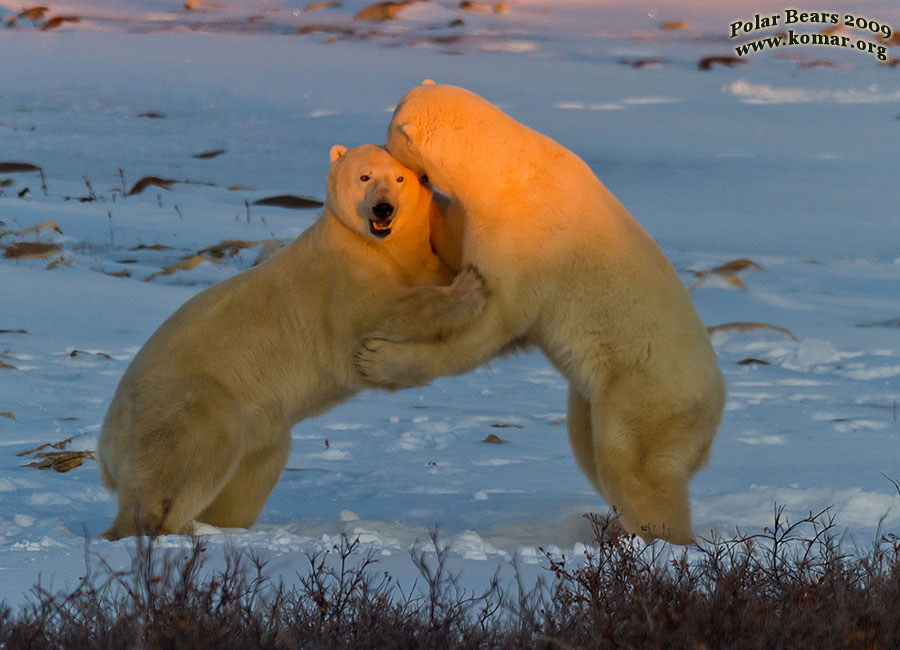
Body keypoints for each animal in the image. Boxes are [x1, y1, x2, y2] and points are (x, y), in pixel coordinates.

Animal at [96, 144, 488, 540]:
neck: (374, 247)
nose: (383, 208)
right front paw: (471, 286)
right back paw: (168, 527)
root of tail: (107, 446)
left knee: (248, 480)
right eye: (364, 176)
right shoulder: (340, 282)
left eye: (400, 178)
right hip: (190, 401)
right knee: (192, 460)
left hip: (259, 436)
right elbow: (383, 311)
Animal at [356, 83, 728, 544]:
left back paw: (662, 540)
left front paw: (378, 359)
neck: (510, 169)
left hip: (646, 393)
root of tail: (714, 410)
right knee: (587, 444)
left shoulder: (524, 239)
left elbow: (490, 323)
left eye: (392, 131)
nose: (378, 148)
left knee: (633, 465)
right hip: (597, 397)